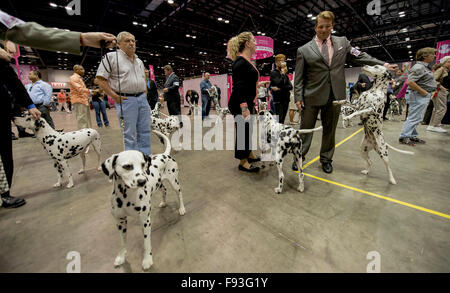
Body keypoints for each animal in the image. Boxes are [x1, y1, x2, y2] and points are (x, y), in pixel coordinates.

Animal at [101, 129, 185, 270]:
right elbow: (122, 242)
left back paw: (182, 208)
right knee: (164, 190)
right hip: (159, 184)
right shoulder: (120, 222)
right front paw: (121, 257)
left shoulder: (145, 221)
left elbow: (146, 242)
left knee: (179, 194)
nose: (142, 181)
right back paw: (163, 202)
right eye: (127, 166)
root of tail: (164, 154)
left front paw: (147, 260)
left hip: (174, 182)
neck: (126, 196)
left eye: (142, 165)